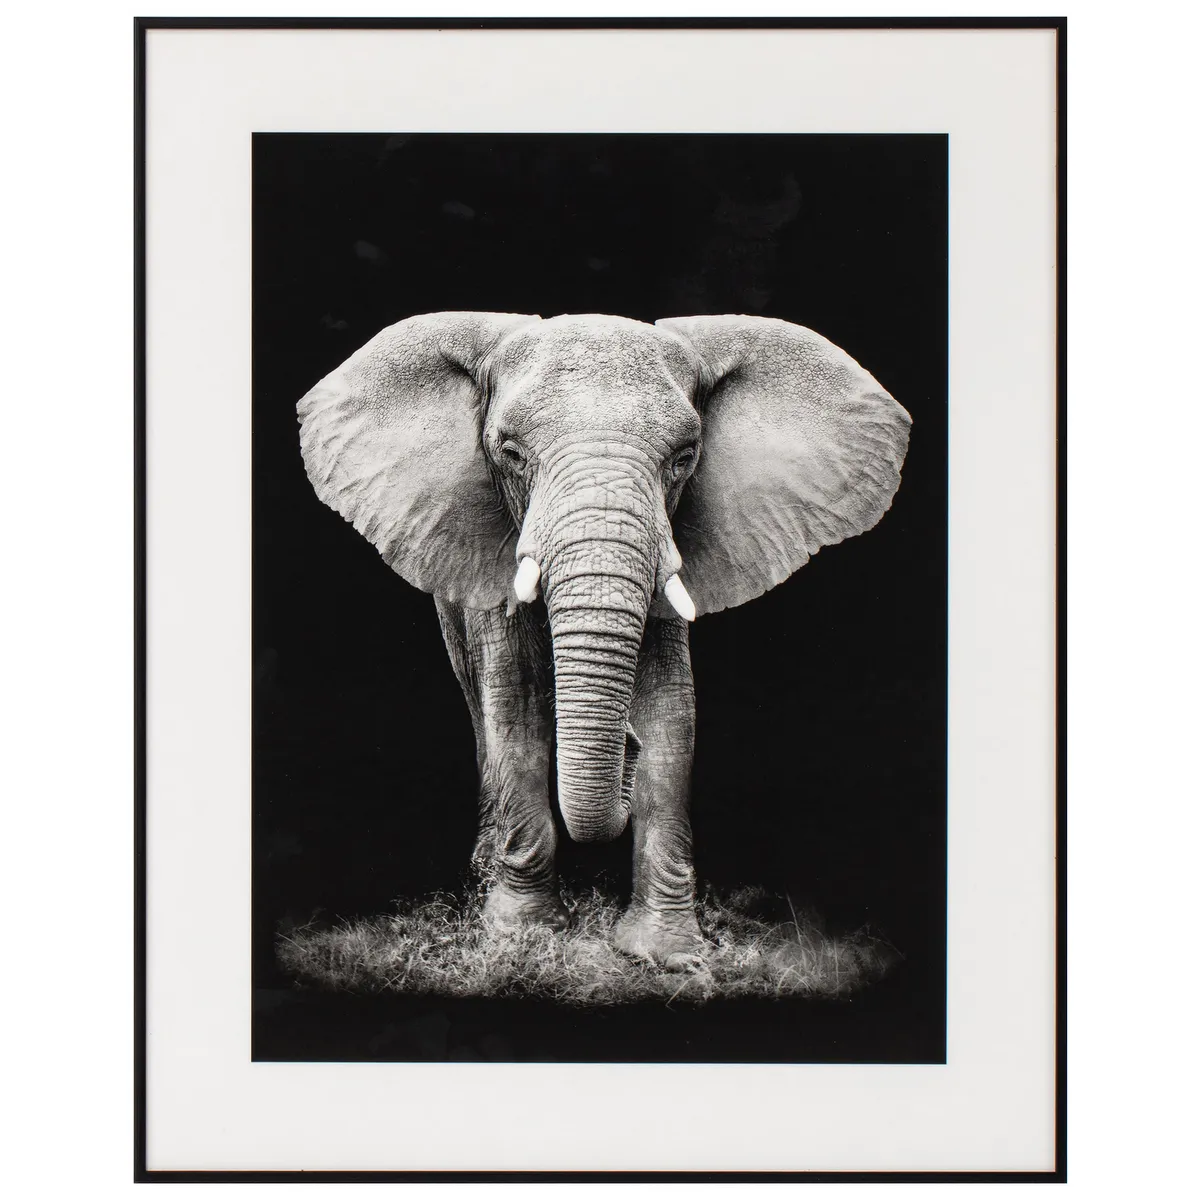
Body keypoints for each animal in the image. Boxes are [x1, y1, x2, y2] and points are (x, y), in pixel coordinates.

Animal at [297, 312, 911, 969]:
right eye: (510, 453)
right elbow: (516, 709)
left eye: (684, 457)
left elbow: (672, 714)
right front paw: (524, 938)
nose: (625, 744)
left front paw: (667, 954)